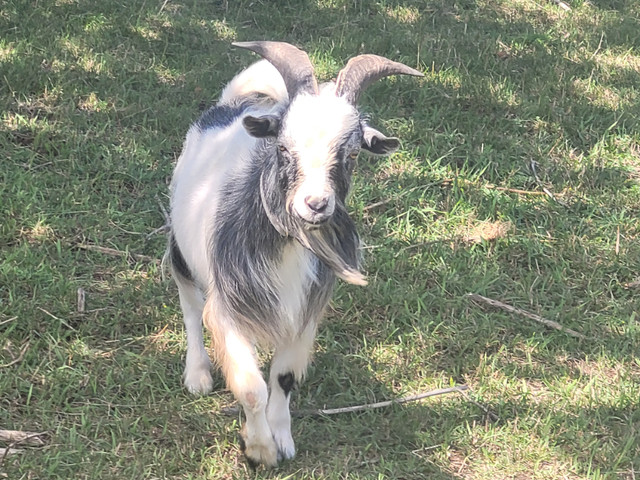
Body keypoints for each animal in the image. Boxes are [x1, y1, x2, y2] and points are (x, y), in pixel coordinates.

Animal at [168, 42, 422, 468]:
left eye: (352, 154)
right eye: (284, 147)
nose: (315, 204)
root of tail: (230, 105)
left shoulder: (303, 312)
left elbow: (282, 378)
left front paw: (283, 440)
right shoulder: (229, 308)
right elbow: (251, 387)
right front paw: (260, 450)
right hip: (180, 250)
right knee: (189, 307)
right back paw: (197, 374)